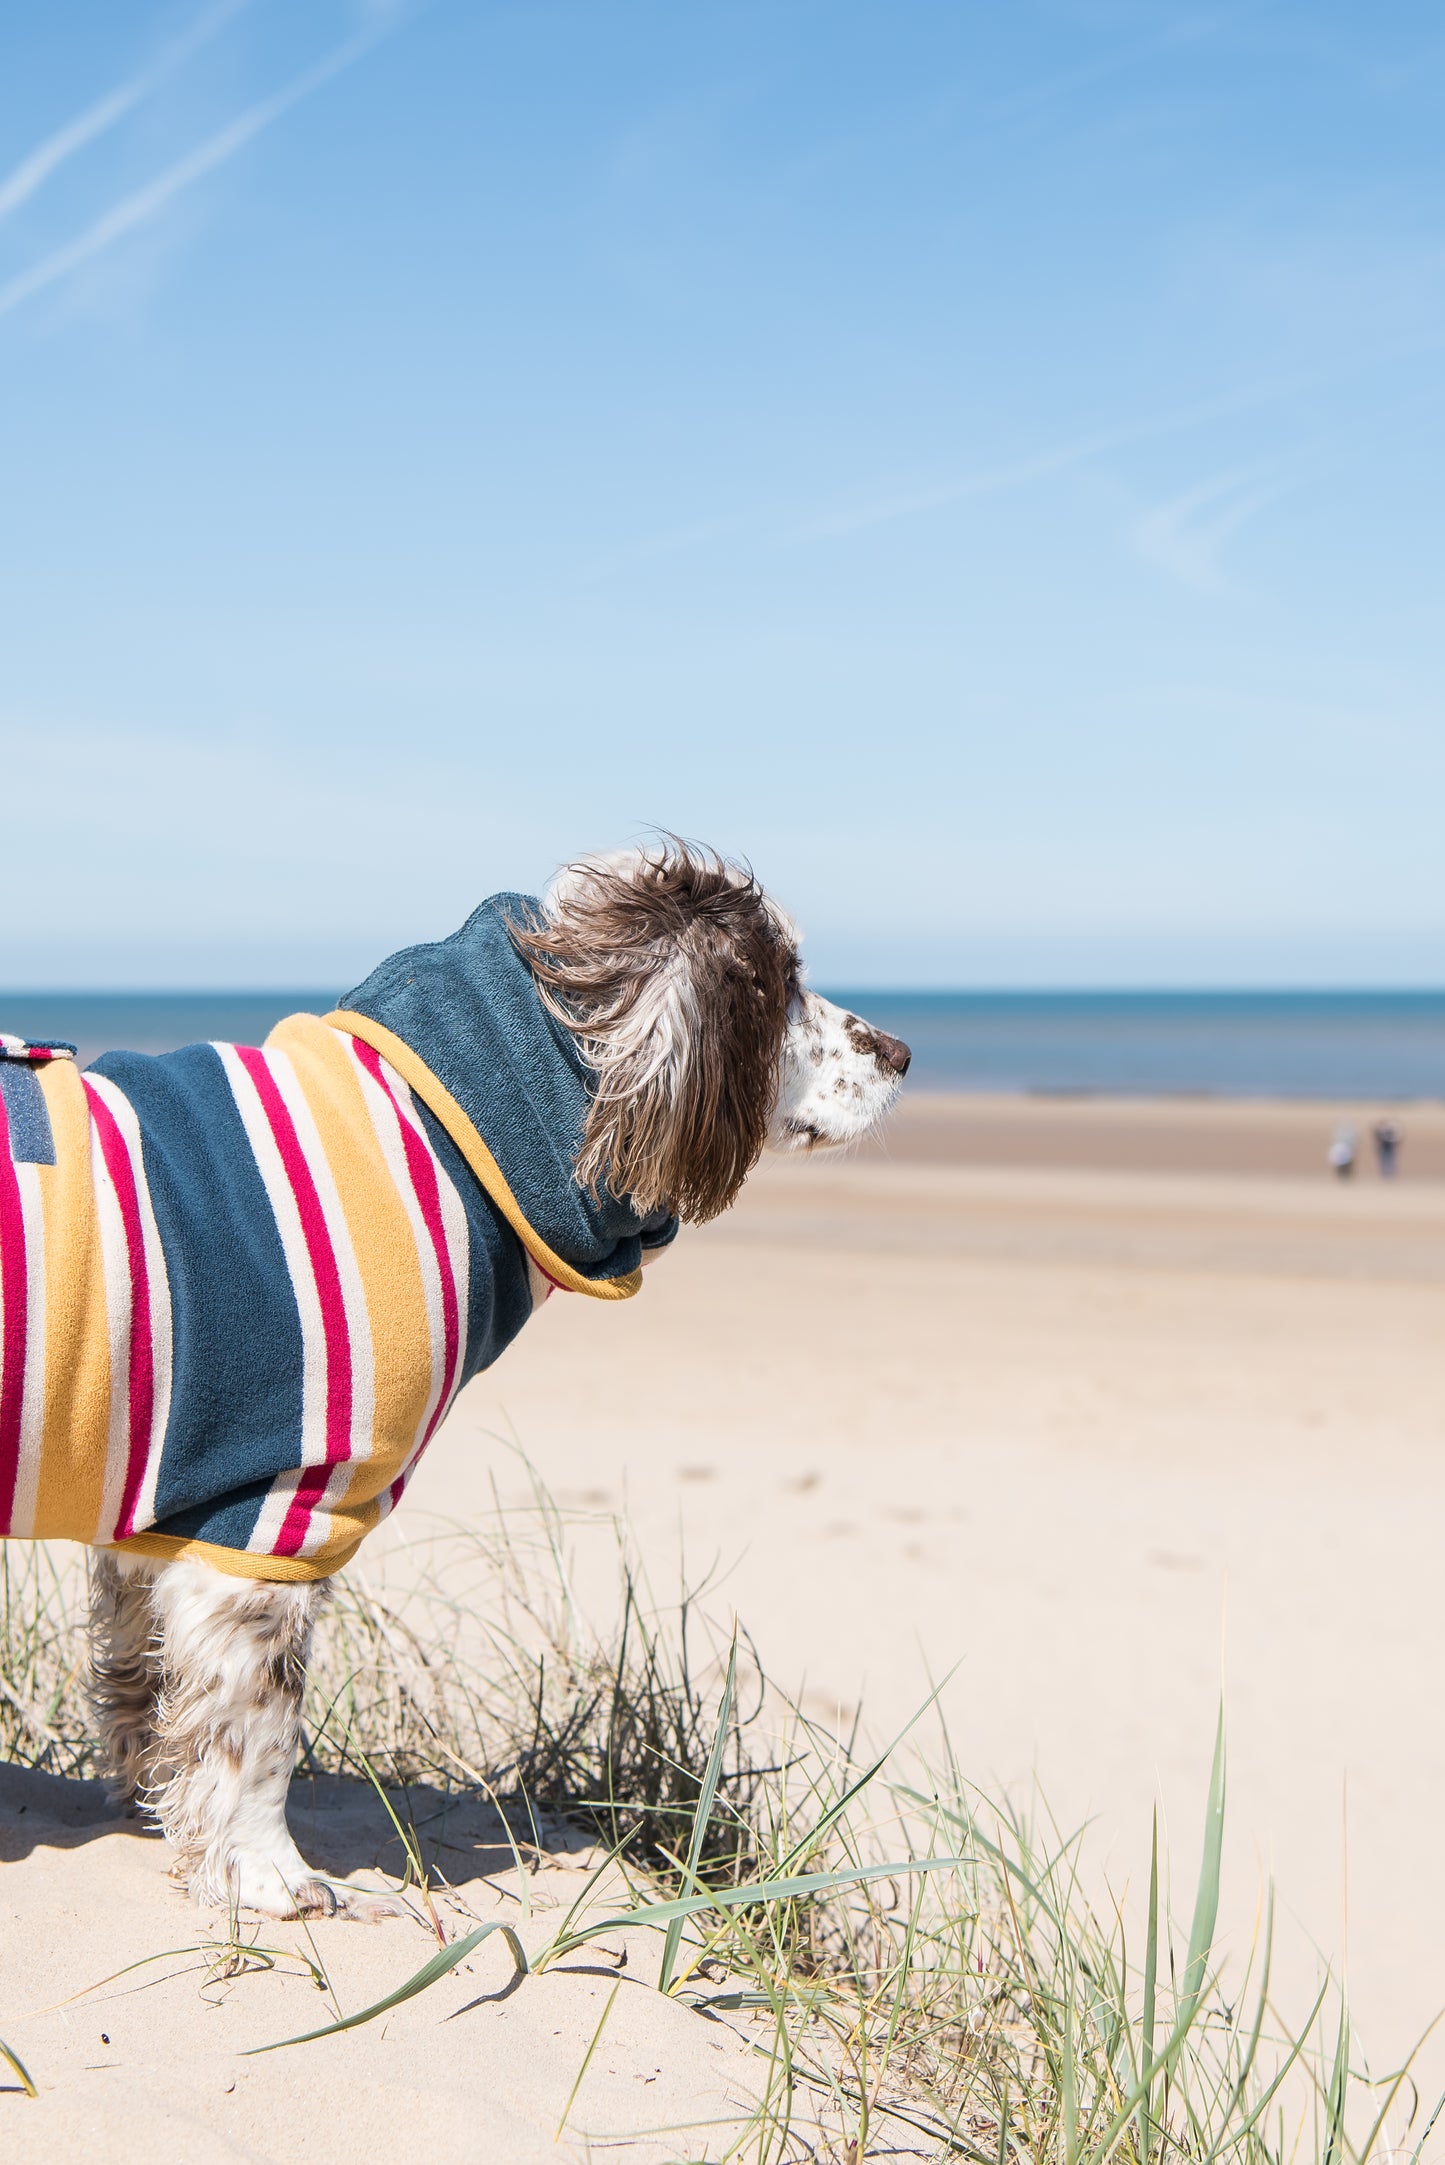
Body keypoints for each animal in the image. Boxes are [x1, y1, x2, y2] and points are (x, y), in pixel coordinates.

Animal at [0, 840, 905, 1913]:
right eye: (778, 984)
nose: (901, 1053)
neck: (439, 1133)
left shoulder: (162, 1509)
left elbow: (151, 1695)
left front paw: (172, 1826)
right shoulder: (272, 1513)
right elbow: (258, 1728)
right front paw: (269, 1874)